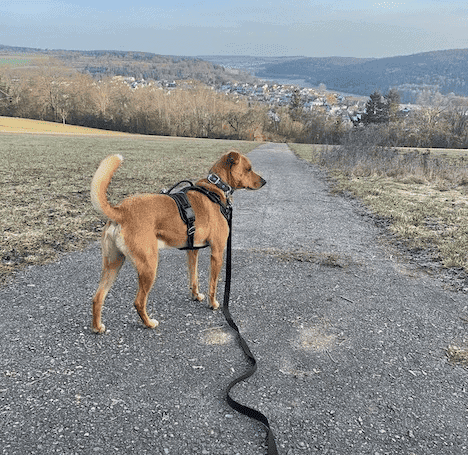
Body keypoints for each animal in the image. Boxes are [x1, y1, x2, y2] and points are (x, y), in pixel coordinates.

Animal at [89, 151, 266, 334]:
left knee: (97, 297)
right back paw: (149, 323)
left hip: (113, 264)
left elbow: (194, 277)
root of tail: (121, 210)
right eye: (248, 169)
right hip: (148, 266)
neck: (215, 189)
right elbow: (213, 284)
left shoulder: (192, 250)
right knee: (138, 302)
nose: (264, 181)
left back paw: (97, 327)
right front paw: (213, 304)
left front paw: (196, 296)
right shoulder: (217, 252)